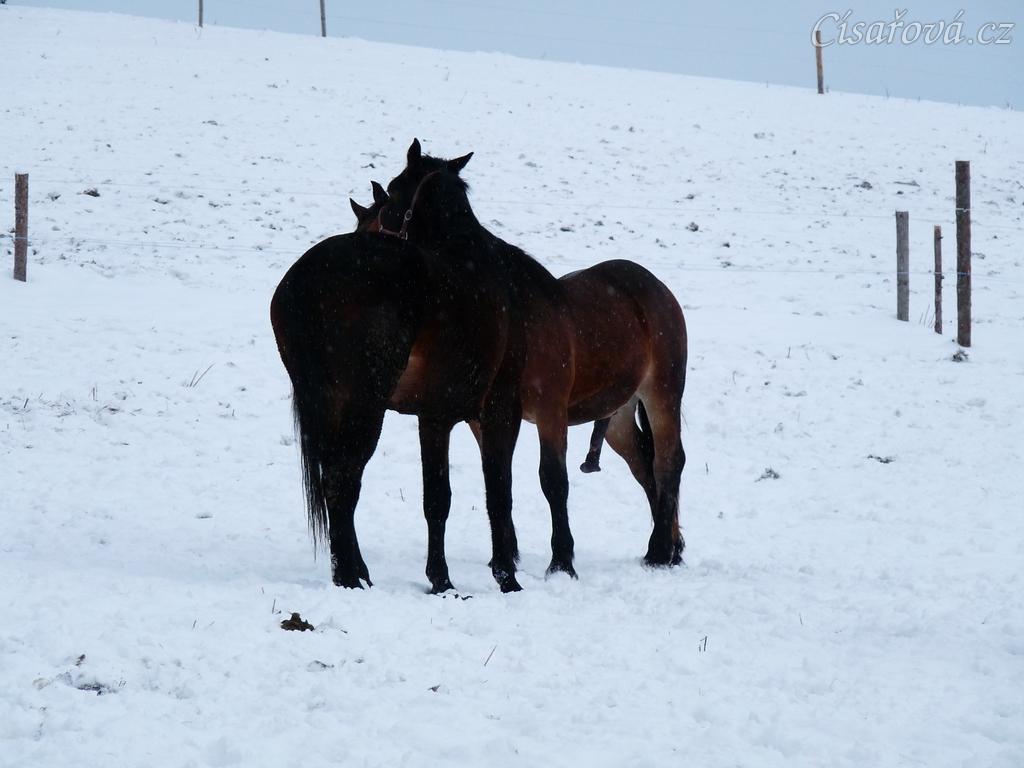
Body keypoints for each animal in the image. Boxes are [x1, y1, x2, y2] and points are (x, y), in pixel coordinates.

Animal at [376, 139, 688, 580]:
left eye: (392, 188)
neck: (502, 306)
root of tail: (657, 289)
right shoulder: (487, 416)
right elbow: (498, 481)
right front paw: (504, 556)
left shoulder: (549, 410)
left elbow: (552, 481)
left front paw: (561, 562)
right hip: (618, 416)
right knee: (645, 465)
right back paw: (667, 549)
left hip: (662, 393)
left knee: (668, 462)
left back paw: (661, 551)